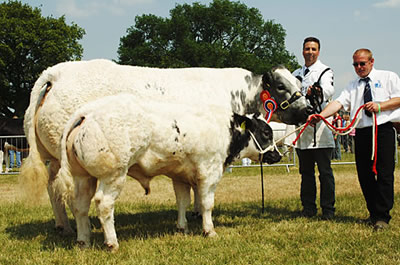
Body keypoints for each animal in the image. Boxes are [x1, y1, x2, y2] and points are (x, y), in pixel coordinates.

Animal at [21, 59, 310, 233]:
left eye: (298, 82)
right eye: (281, 85)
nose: (309, 110)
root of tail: (55, 74)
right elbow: (200, 191)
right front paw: (200, 216)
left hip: (54, 158)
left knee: (54, 189)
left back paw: (63, 226)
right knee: (68, 193)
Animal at [54, 94, 282, 251]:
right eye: (266, 132)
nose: (277, 155)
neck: (223, 129)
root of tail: (88, 111)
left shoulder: (180, 176)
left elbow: (183, 201)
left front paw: (182, 228)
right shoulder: (209, 171)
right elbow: (207, 204)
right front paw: (209, 230)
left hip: (83, 177)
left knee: (80, 205)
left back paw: (83, 240)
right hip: (113, 175)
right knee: (104, 204)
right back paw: (112, 243)